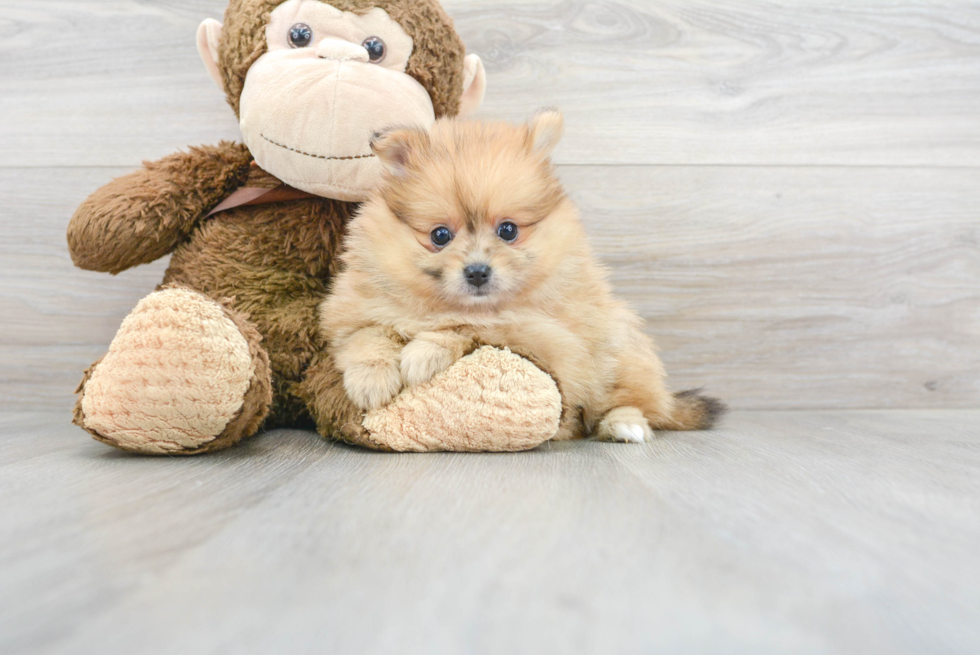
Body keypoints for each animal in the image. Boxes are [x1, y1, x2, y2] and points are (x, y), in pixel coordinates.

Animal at [318, 110, 724, 444]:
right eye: (440, 235)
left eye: (509, 230)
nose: (477, 271)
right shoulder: (354, 311)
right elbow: (369, 334)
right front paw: (370, 379)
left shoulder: (537, 334)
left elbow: (465, 328)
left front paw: (423, 353)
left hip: (620, 349)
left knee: (631, 402)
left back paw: (625, 425)